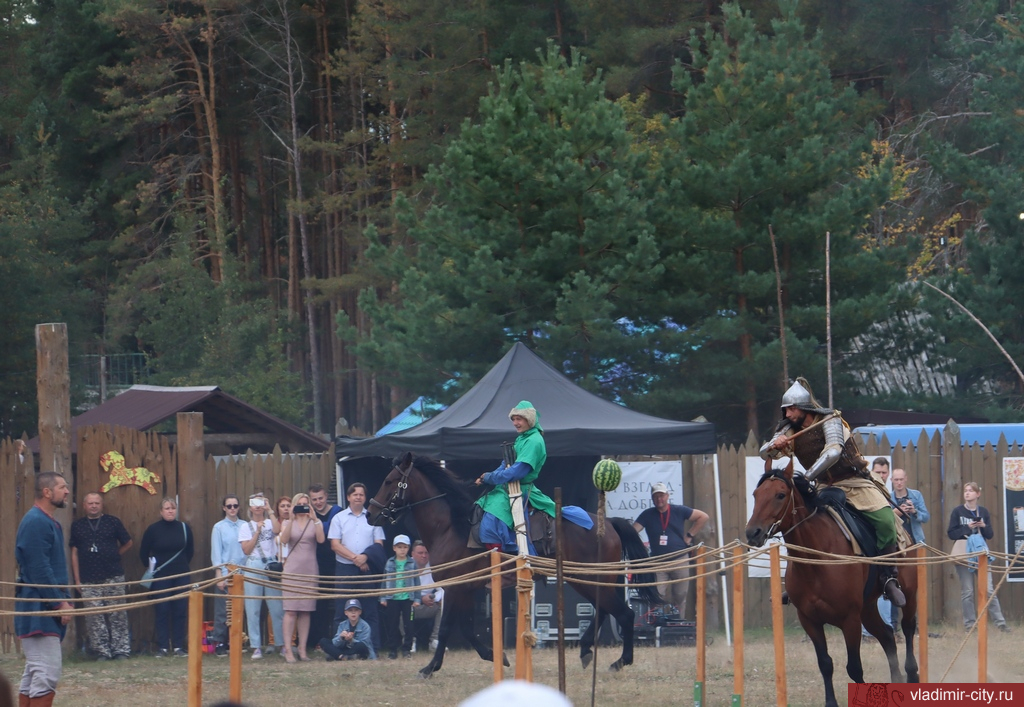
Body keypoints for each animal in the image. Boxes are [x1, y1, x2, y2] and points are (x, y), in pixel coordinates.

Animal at [364, 450, 659, 676]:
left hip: (591, 579)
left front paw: (429, 668)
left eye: (390, 481)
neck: (451, 526)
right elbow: (467, 629)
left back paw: (620, 661)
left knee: (623, 613)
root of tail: (607, 523)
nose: (370, 513)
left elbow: (448, 627)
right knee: (605, 611)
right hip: (586, 580)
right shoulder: (466, 589)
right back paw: (588, 650)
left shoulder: (455, 588)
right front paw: (497, 657)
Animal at [745, 456, 921, 704]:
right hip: (867, 607)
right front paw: (831, 702)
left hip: (908, 592)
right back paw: (896, 681)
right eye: (756, 494)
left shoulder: (850, 619)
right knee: (887, 636)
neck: (817, 559)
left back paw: (912, 674)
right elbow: (825, 664)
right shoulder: (810, 620)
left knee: (907, 627)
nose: (753, 533)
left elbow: (854, 667)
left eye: (780, 495)